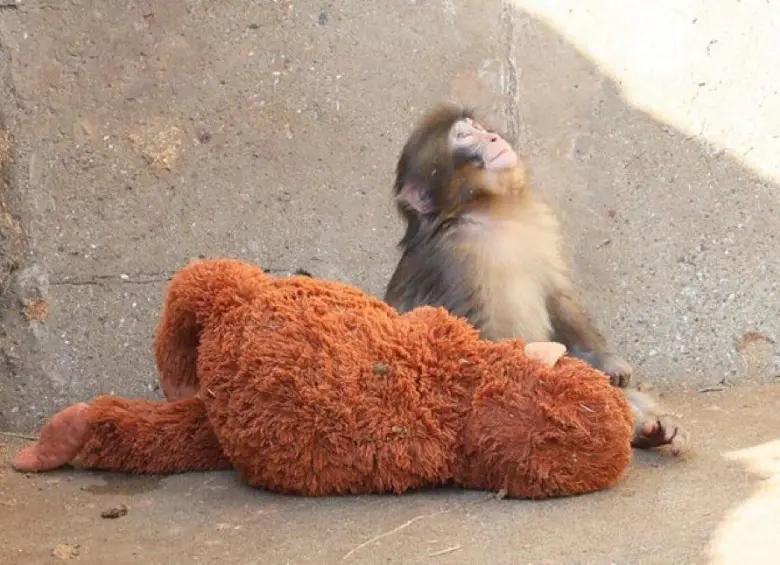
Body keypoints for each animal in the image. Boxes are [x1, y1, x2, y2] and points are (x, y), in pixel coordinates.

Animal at [383, 105, 689, 455]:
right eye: (463, 136)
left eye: (476, 128)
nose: (493, 137)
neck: (491, 211)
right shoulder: (455, 260)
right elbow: (478, 341)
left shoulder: (538, 226)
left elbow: (558, 298)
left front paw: (608, 362)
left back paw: (650, 429)